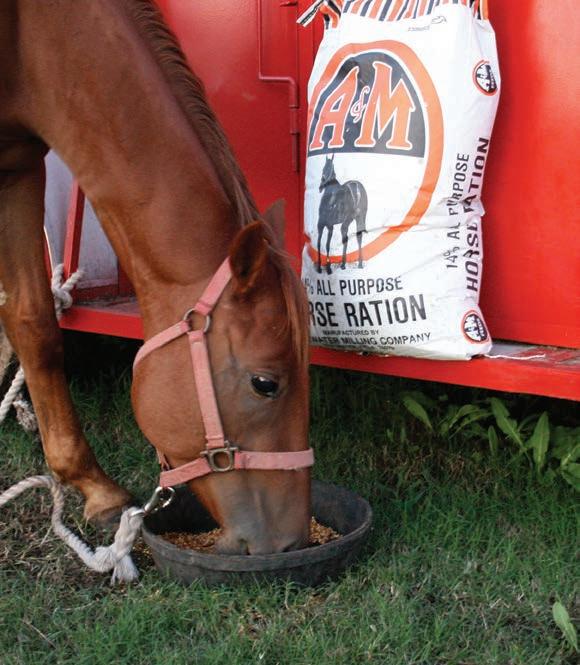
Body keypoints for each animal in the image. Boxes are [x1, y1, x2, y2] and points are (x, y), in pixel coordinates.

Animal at [0, 0, 312, 555]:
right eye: (265, 384)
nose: (293, 542)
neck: (34, 36)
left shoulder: (17, 168)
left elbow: (34, 323)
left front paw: (94, 488)